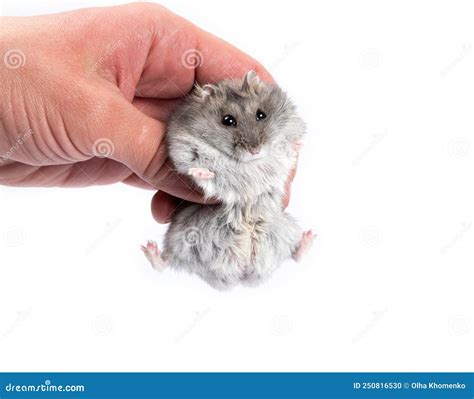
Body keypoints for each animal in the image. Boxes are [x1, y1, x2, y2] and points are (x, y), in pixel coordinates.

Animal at [142, 72, 314, 290]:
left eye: (261, 115)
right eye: (227, 120)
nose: (255, 150)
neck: (245, 162)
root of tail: (241, 273)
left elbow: (286, 152)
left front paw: (295, 143)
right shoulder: (182, 150)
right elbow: (199, 170)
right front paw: (202, 171)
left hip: (285, 227)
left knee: (294, 255)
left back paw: (309, 237)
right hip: (178, 237)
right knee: (164, 263)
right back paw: (149, 248)